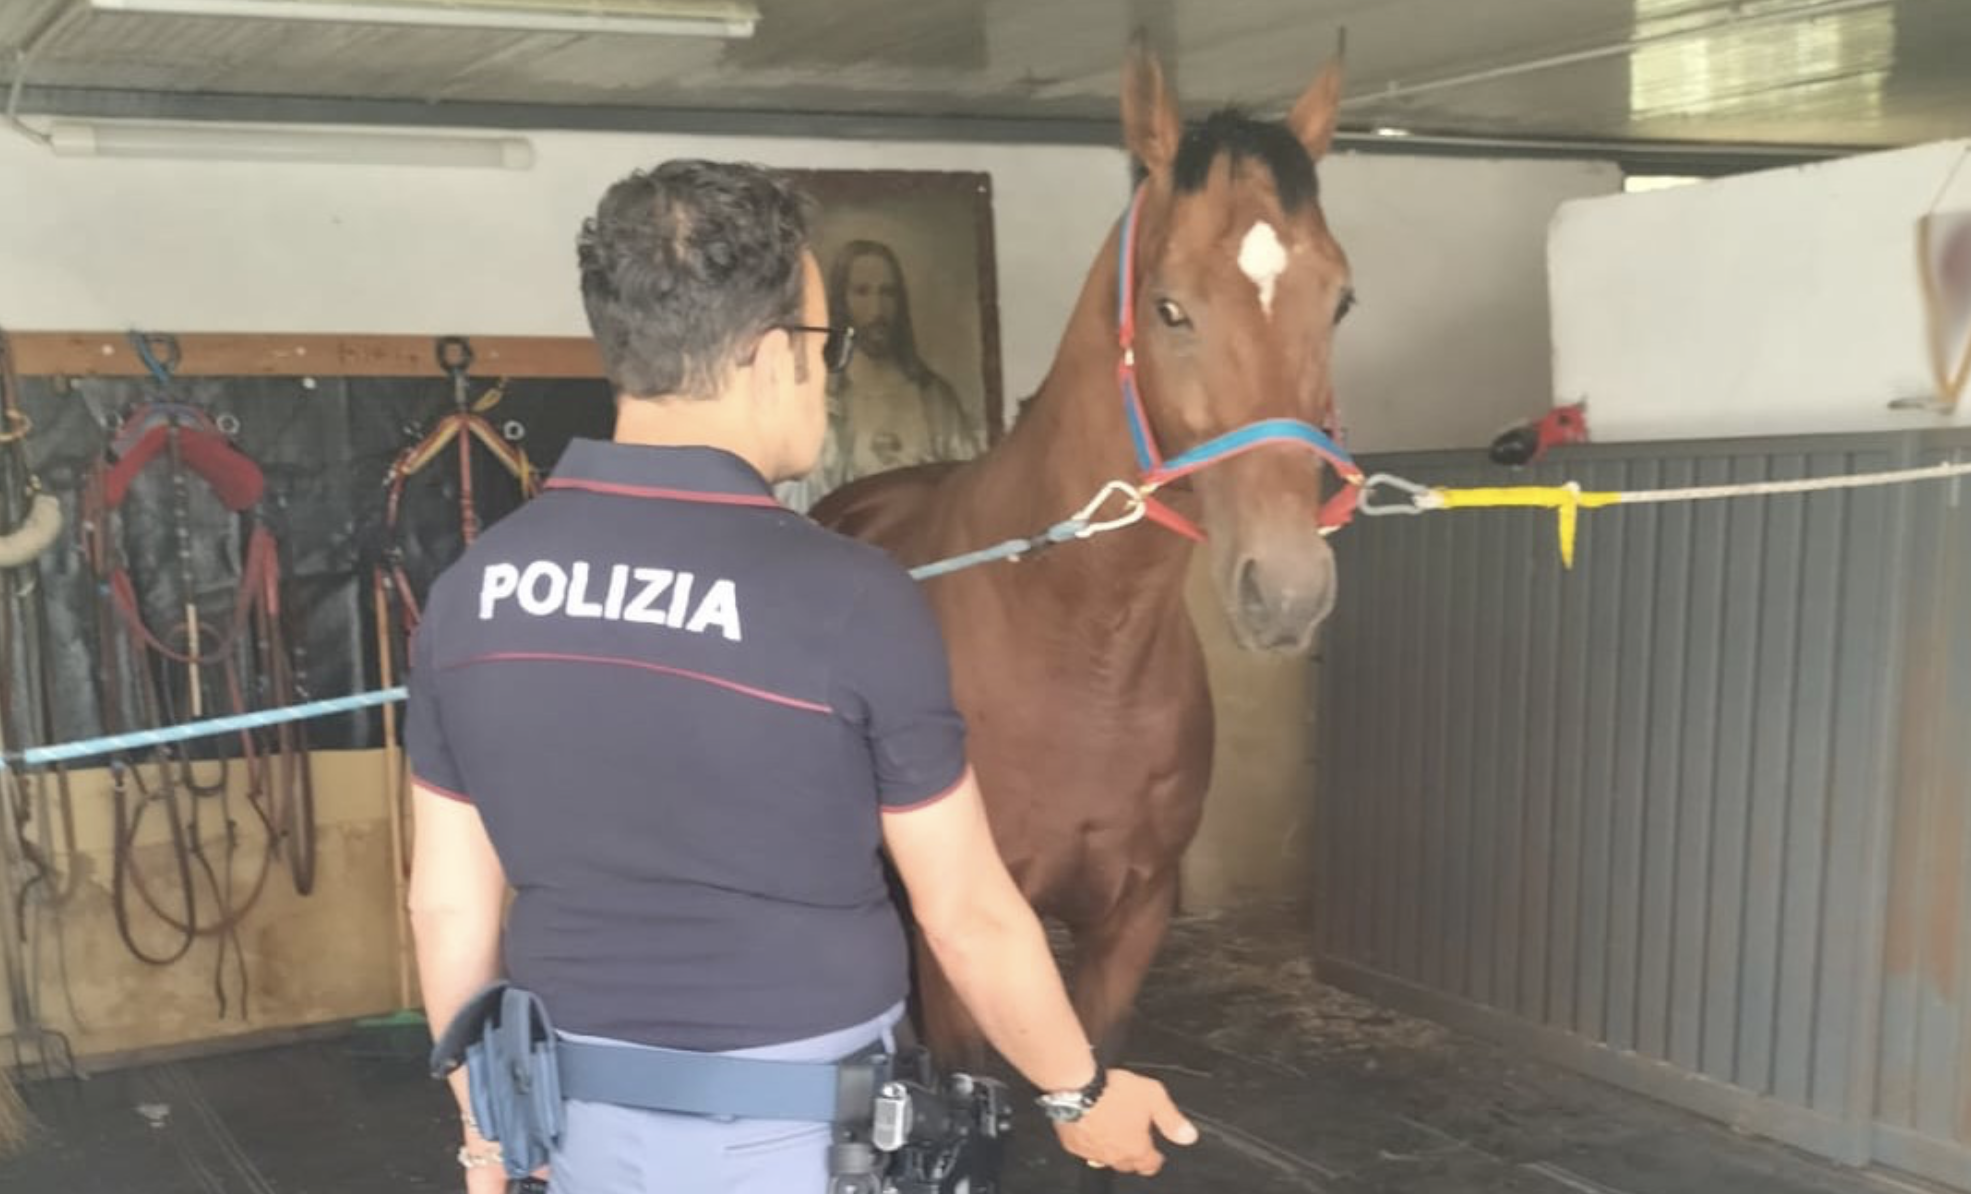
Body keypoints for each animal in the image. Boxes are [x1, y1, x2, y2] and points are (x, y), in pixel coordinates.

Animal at [813, 40, 1358, 1100]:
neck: (1077, 640)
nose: (1285, 589)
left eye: (1340, 300)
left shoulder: (1128, 925)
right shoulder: (961, 946)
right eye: (1169, 306)